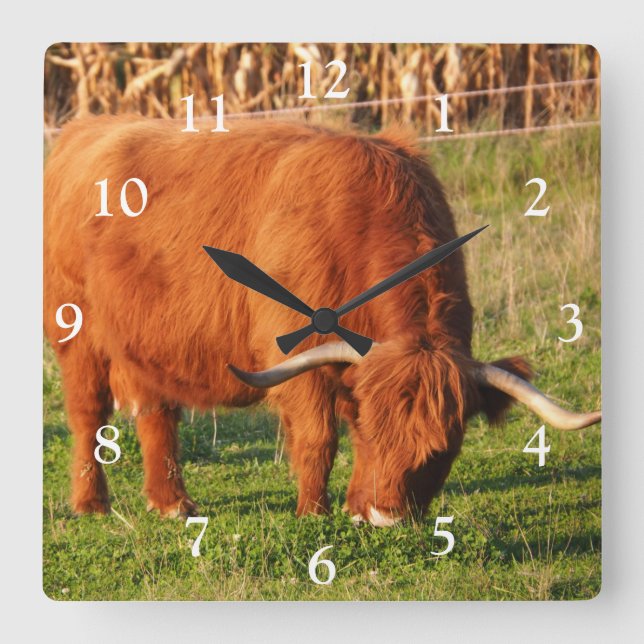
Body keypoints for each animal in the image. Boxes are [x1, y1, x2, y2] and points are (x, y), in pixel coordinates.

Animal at [44, 115, 601, 526]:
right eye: (377, 434)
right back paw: (92, 503)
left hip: (144, 342)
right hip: (77, 334)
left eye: (443, 449)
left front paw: (352, 506)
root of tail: (87, 129)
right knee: (88, 414)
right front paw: (313, 512)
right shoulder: (296, 359)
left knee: (157, 413)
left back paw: (172, 503)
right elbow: (318, 438)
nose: (386, 517)